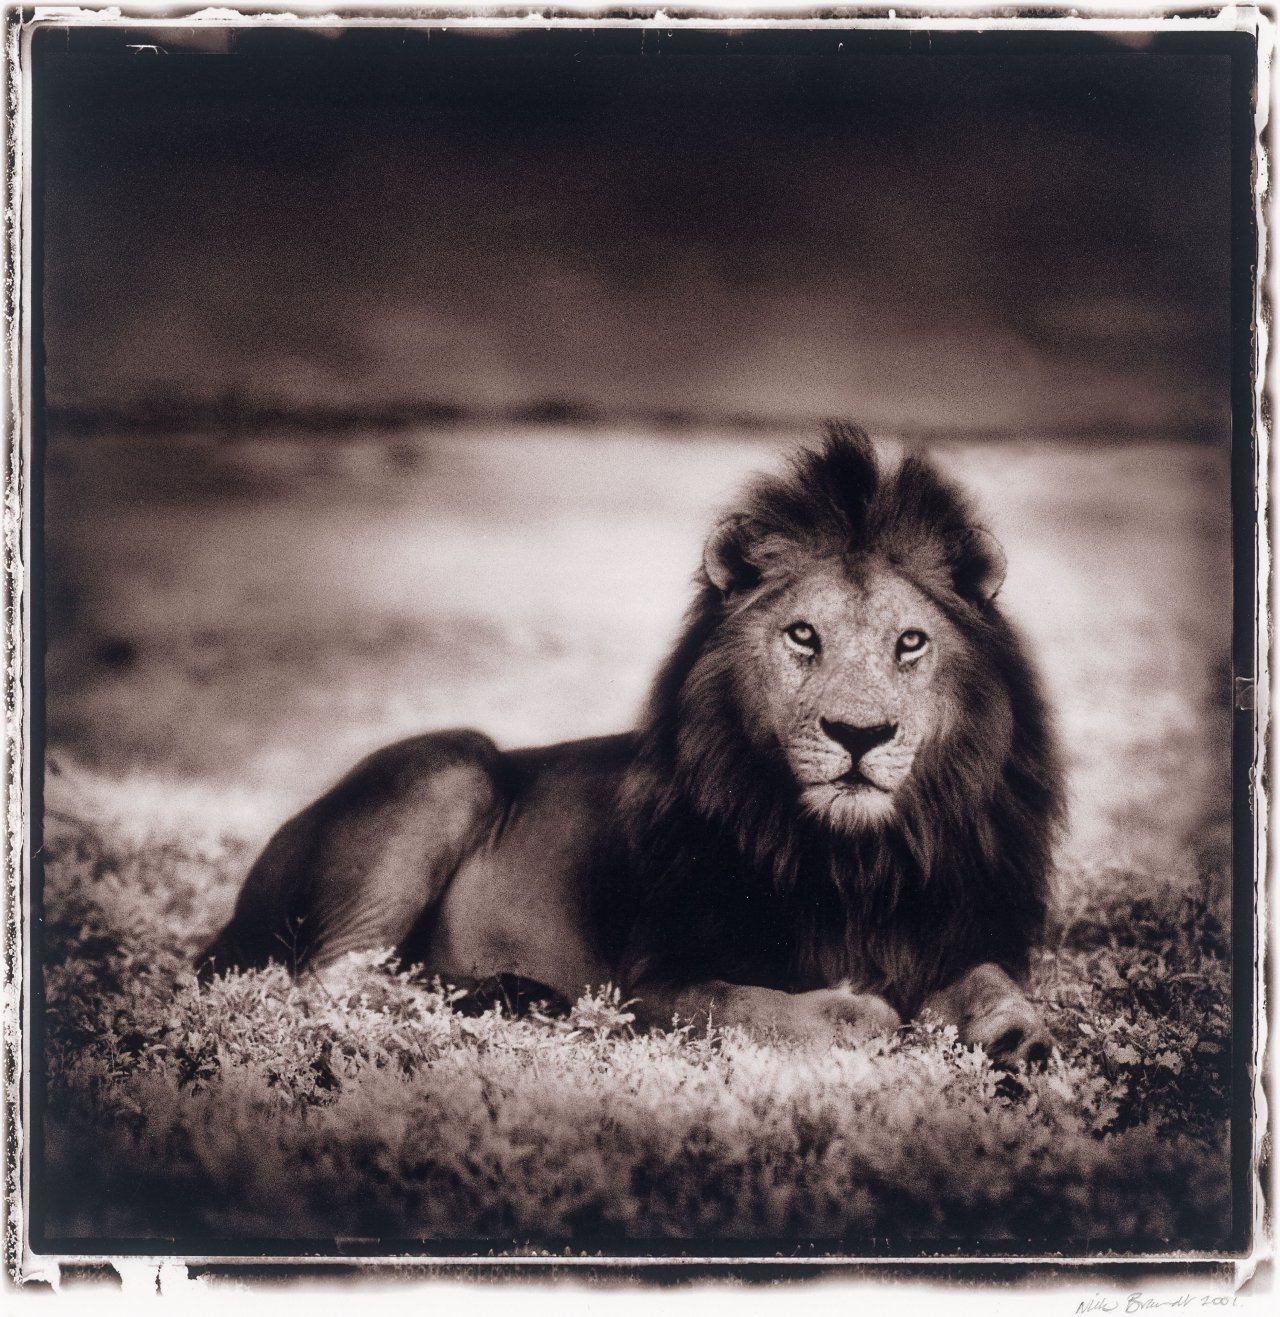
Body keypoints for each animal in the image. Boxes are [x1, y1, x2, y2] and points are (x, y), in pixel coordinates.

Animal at [200, 424, 1064, 1064]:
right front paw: (872, 1012)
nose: (860, 733)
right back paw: (504, 998)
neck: (858, 860)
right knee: (334, 977)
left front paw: (1018, 1035)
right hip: (450, 763)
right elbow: (777, 1007)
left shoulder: (962, 931)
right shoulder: (655, 983)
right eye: (802, 636)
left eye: (910, 642)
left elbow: (993, 981)